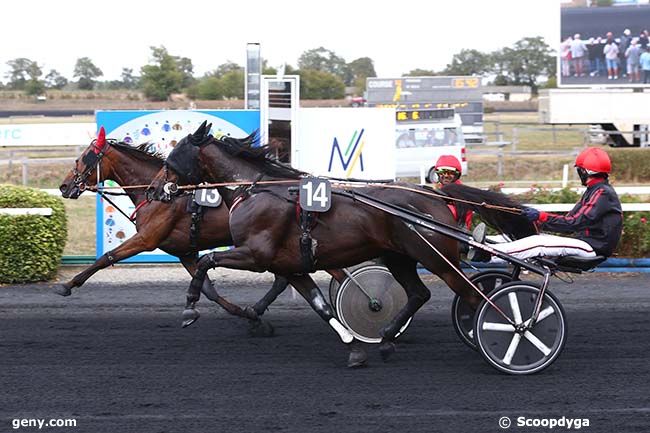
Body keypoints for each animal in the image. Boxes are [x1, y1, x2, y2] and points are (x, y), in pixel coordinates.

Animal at [55, 128, 304, 334]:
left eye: (84, 157)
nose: (64, 186)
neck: (157, 194)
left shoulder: (146, 239)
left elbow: (107, 257)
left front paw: (67, 285)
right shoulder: (185, 252)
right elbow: (209, 289)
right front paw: (248, 317)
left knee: (282, 278)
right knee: (283, 278)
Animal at [149, 122, 536, 368]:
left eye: (173, 156)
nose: (155, 189)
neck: (257, 190)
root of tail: (433, 194)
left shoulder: (255, 255)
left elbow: (204, 263)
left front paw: (189, 309)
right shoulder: (290, 267)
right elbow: (322, 307)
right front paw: (354, 349)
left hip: (435, 257)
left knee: (474, 296)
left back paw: (508, 333)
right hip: (399, 257)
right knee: (420, 294)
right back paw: (387, 339)